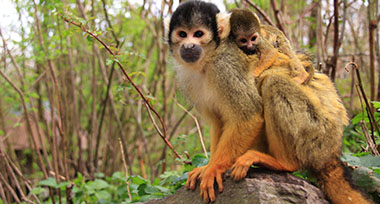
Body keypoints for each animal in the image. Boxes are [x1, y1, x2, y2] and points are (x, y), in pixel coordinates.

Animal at [168, 0, 372, 203]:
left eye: (198, 34)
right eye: (182, 34)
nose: (188, 47)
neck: (207, 60)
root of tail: (331, 154)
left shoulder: (226, 66)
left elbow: (248, 116)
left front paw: (213, 169)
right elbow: (219, 121)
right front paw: (208, 166)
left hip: (317, 136)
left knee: (274, 83)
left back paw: (283, 163)